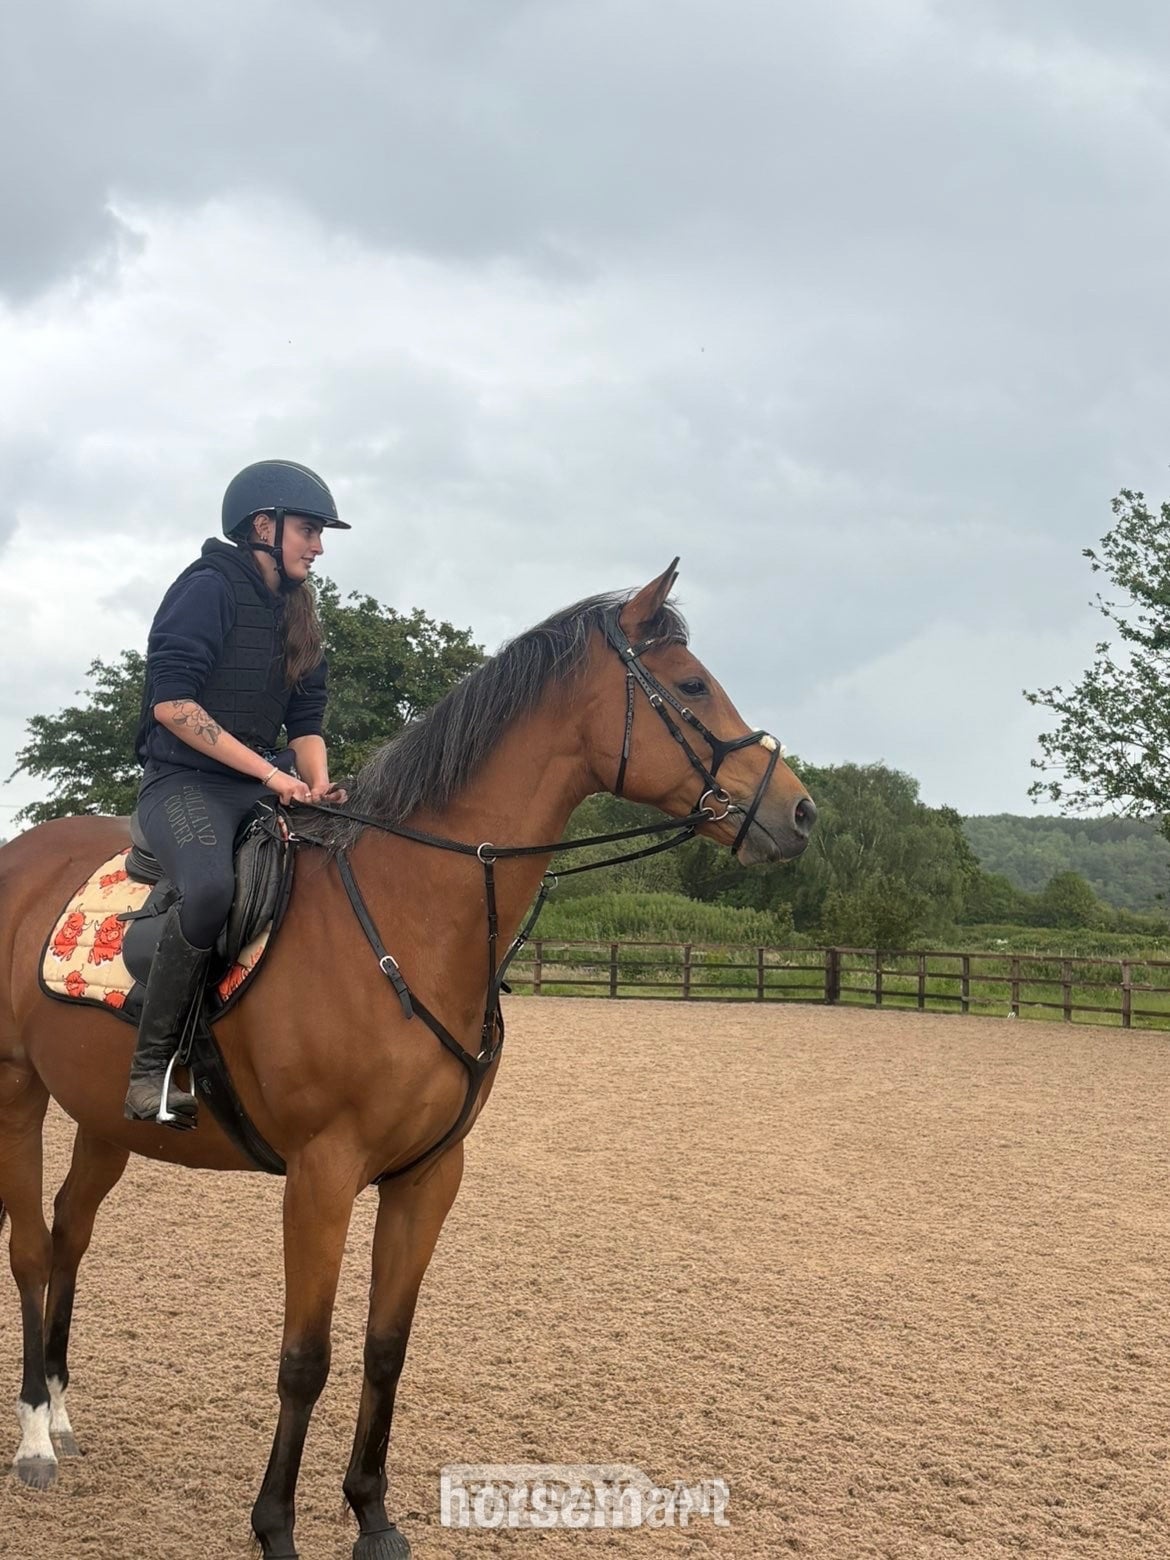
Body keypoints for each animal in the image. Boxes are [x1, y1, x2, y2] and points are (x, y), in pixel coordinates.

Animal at [0, 561, 815, 1559]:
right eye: (693, 686)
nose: (800, 810)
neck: (409, 913)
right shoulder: (321, 1177)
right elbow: (304, 1358)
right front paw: (276, 1528)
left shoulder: (428, 1176)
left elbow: (386, 1346)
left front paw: (372, 1516)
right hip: (16, 1091)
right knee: (30, 1248)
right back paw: (35, 1437)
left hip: (105, 1119)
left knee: (69, 1232)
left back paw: (62, 1412)